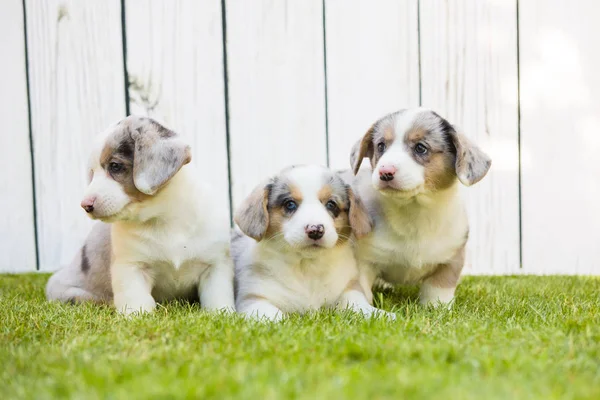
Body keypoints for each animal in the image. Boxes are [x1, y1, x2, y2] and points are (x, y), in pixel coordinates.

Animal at [45, 115, 233, 316]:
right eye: (92, 173)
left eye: (115, 166)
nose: (85, 205)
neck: (165, 219)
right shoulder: (132, 267)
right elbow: (136, 303)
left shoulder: (215, 266)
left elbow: (218, 301)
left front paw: (223, 315)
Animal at [231, 164, 394, 320]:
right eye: (289, 204)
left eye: (331, 204)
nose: (315, 230)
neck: (308, 266)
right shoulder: (254, 299)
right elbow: (275, 317)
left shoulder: (348, 289)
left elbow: (360, 305)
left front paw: (385, 316)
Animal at [346, 108, 492, 306]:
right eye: (381, 146)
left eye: (421, 148)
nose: (385, 172)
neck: (414, 210)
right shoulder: (364, 262)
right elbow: (361, 289)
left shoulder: (451, 259)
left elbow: (439, 289)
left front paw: (436, 307)